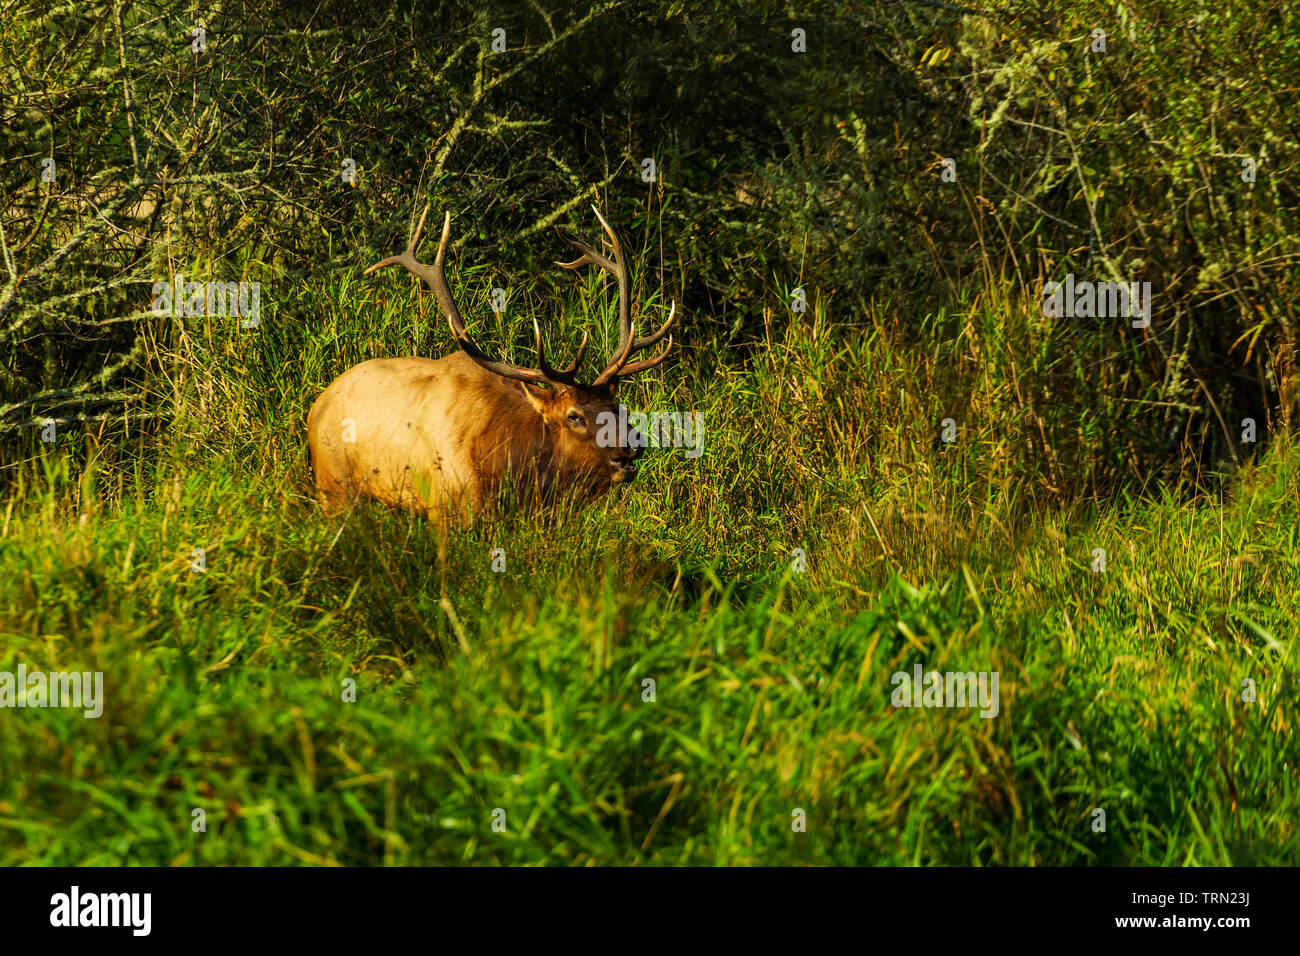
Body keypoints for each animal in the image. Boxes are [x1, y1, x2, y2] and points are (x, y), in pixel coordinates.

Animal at [304, 204, 670, 528]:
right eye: (574, 416)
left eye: (619, 407)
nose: (633, 445)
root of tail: (317, 405)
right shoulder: (445, 508)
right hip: (332, 486)